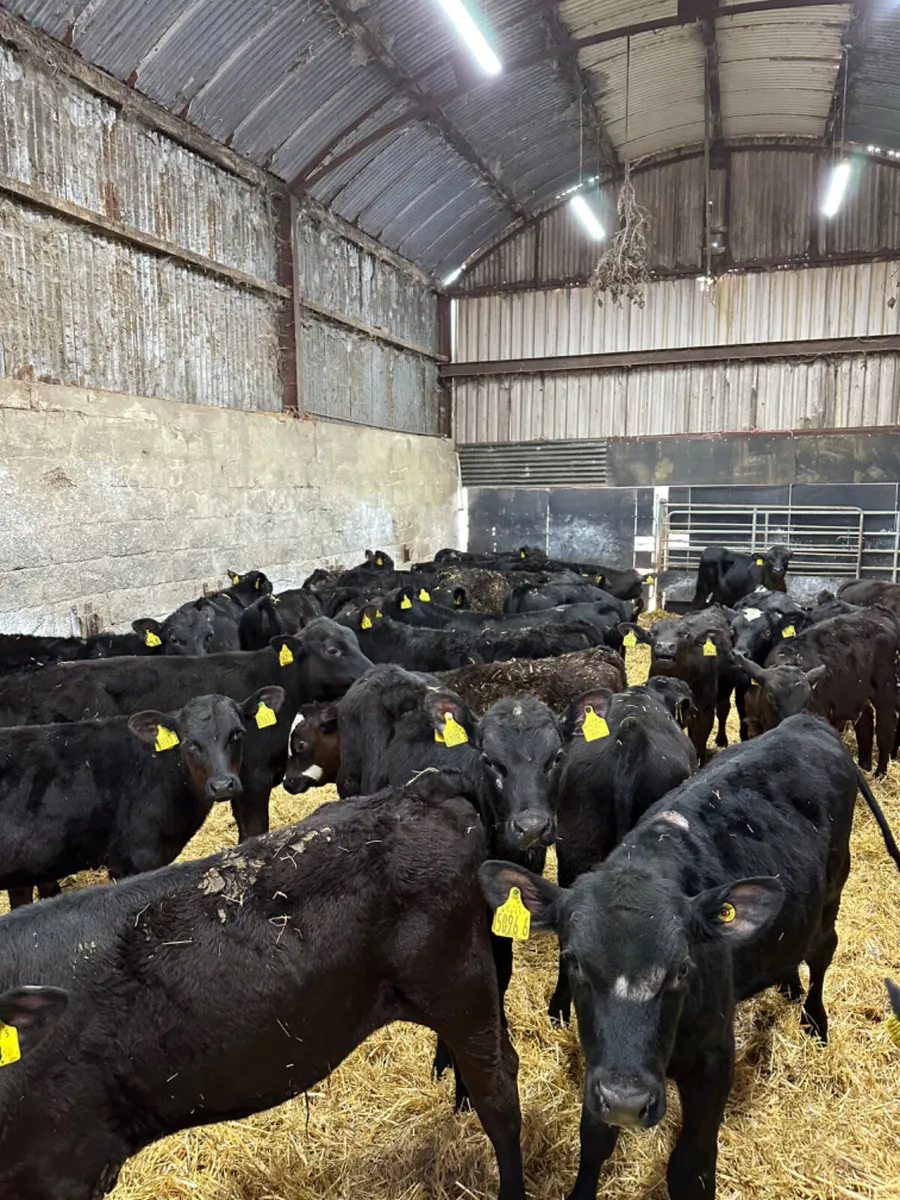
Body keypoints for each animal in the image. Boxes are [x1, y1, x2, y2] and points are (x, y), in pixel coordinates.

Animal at [621, 609, 735, 762]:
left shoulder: (706, 711)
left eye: (685, 634)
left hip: (726, 687)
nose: (665, 646)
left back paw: (722, 740)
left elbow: (701, 742)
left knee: (723, 711)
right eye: (652, 633)